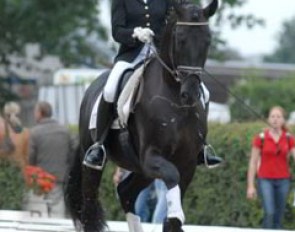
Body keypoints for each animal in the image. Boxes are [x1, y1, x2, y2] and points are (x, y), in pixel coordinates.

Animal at [65, 0, 219, 232]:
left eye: (207, 41)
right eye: (180, 39)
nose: (191, 94)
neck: (174, 100)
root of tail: (93, 86)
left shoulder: (187, 162)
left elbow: (173, 217)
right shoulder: (151, 157)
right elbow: (172, 182)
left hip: (139, 168)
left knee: (126, 192)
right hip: (94, 159)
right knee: (90, 204)